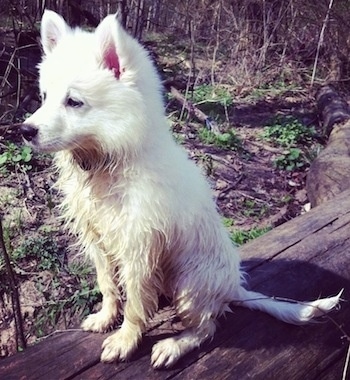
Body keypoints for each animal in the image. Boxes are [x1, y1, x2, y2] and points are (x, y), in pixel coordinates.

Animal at [20, 10, 340, 370]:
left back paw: (173, 345)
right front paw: (106, 318)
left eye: (74, 101)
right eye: (45, 97)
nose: (24, 130)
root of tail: (232, 287)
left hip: (189, 283)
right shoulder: (97, 239)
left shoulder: (139, 248)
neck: (109, 160)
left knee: (207, 326)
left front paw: (125, 341)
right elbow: (108, 285)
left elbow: (135, 304)